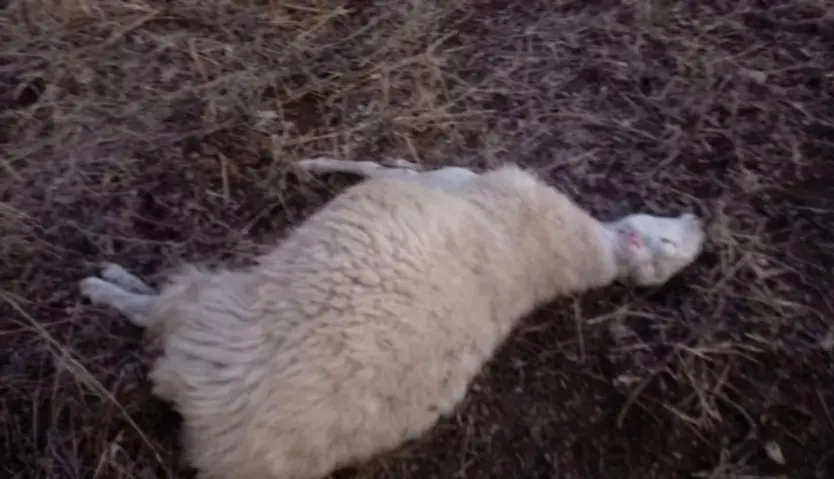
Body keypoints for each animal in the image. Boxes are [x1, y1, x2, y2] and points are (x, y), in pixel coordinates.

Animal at [78, 157, 706, 479]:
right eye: (672, 241)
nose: (700, 221)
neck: (566, 255)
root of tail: (230, 447)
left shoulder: (452, 179)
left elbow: (384, 166)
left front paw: (320, 161)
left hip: (214, 315)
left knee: (159, 309)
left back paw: (107, 285)